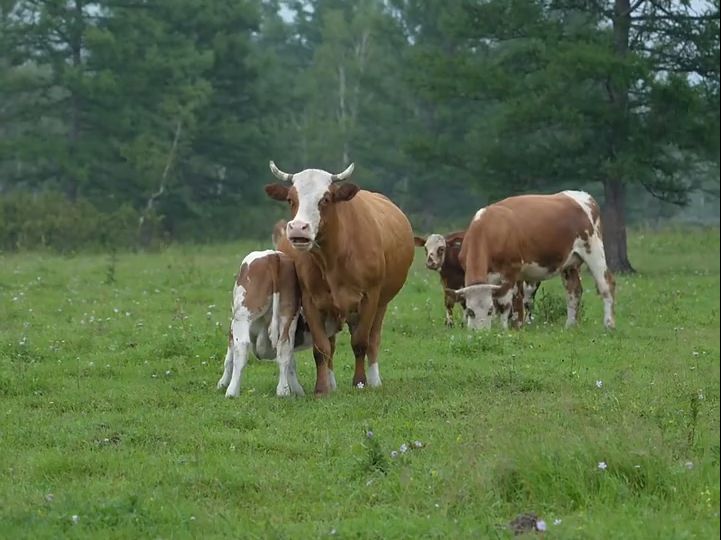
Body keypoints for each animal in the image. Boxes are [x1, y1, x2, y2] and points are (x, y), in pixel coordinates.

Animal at [264, 160, 414, 392]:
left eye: (325, 199)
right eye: (290, 199)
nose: (299, 228)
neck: (334, 257)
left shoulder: (370, 297)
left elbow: (361, 342)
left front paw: (360, 382)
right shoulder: (311, 301)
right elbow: (321, 348)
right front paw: (322, 388)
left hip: (381, 304)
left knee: (373, 339)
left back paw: (374, 379)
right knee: (332, 344)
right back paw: (332, 381)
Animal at [450, 192, 612, 332]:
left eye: (489, 311)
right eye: (470, 311)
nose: (481, 333)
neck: (489, 230)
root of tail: (584, 196)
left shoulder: (511, 271)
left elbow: (504, 304)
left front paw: (504, 329)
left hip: (593, 249)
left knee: (606, 285)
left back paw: (609, 325)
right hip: (570, 264)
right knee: (574, 291)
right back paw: (570, 326)